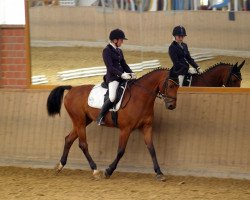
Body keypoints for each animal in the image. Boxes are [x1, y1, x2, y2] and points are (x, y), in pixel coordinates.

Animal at [47, 68, 180, 181]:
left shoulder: (147, 127)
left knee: (69, 139)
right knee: (83, 144)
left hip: (83, 121)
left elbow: (151, 149)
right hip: (79, 120)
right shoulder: (126, 129)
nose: (171, 106)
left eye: (178, 86)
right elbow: (121, 151)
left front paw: (159, 173)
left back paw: (60, 166)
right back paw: (95, 170)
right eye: (170, 85)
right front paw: (109, 171)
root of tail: (71, 89)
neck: (140, 98)